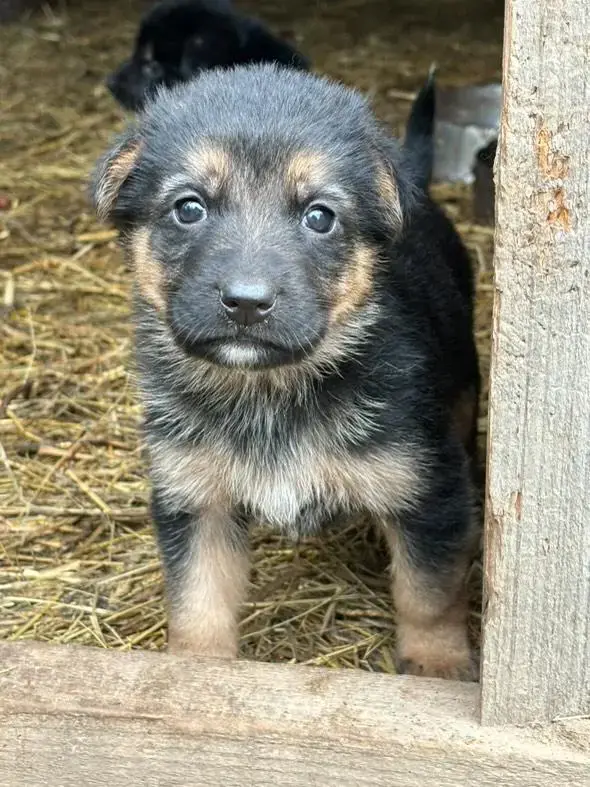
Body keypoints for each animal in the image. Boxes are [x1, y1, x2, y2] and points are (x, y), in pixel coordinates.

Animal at [91, 66, 480, 684]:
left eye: (319, 216)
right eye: (188, 208)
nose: (247, 303)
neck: (267, 390)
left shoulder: (426, 491)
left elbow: (429, 593)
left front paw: (437, 667)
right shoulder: (195, 498)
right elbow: (197, 599)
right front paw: (194, 670)